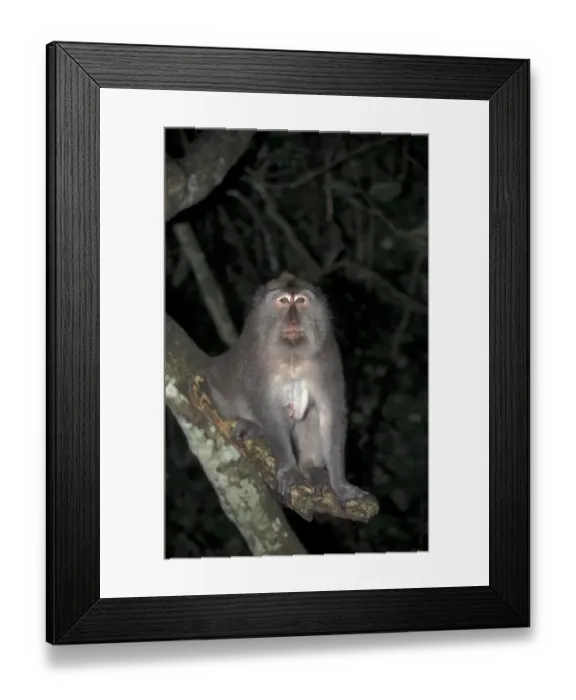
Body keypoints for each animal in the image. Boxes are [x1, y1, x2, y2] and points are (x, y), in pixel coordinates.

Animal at [201, 271, 369, 507]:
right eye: (282, 301)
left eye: (300, 301)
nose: (293, 319)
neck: (292, 356)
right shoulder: (256, 357)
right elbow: (268, 409)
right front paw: (289, 469)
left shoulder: (327, 355)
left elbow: (330, 413)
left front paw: (340, 486)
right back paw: (254, 426)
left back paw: (309, 467)